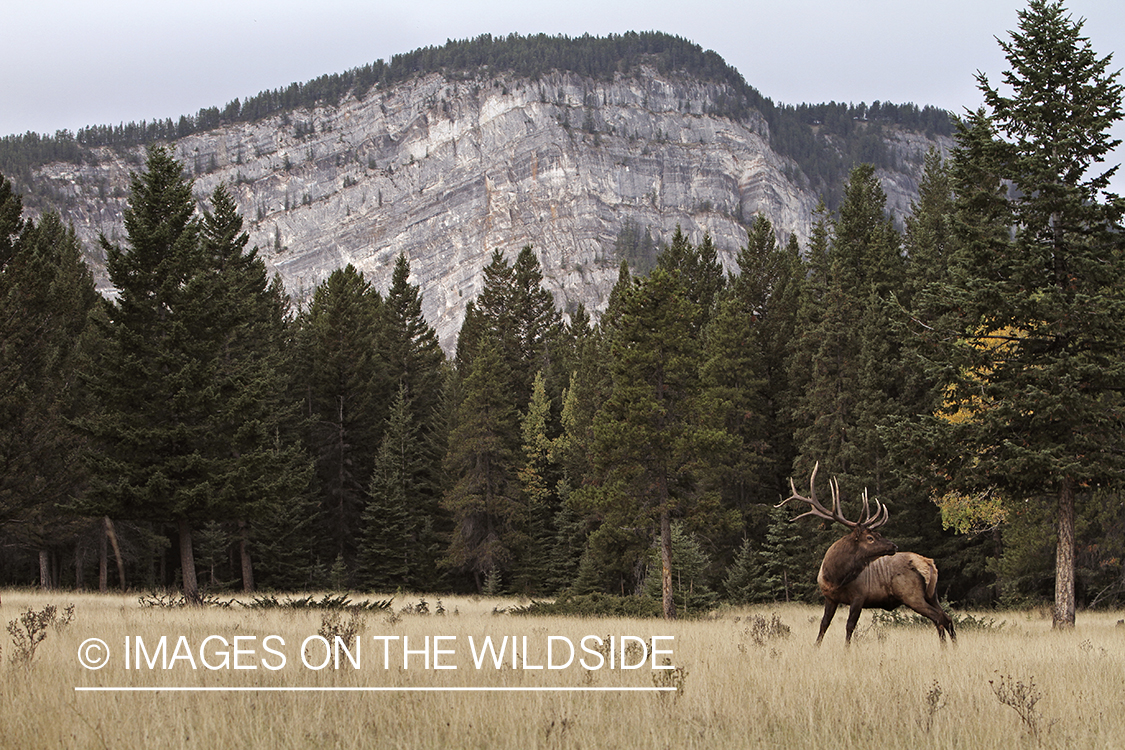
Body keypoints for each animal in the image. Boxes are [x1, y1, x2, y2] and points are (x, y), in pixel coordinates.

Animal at [778, 463, 954, 647]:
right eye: (870, 538)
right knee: (946, 618)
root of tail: (929, 564)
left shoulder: (859, 596)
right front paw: (816, 647)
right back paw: (952, 647)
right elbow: (824, 624)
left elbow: (850, 626)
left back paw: (944, 648)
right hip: (932, 595)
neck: (834, 577)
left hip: (912, 595)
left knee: (939, 618)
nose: (894, 546)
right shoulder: (830, 598)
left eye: (878, 534)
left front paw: (846, 649)